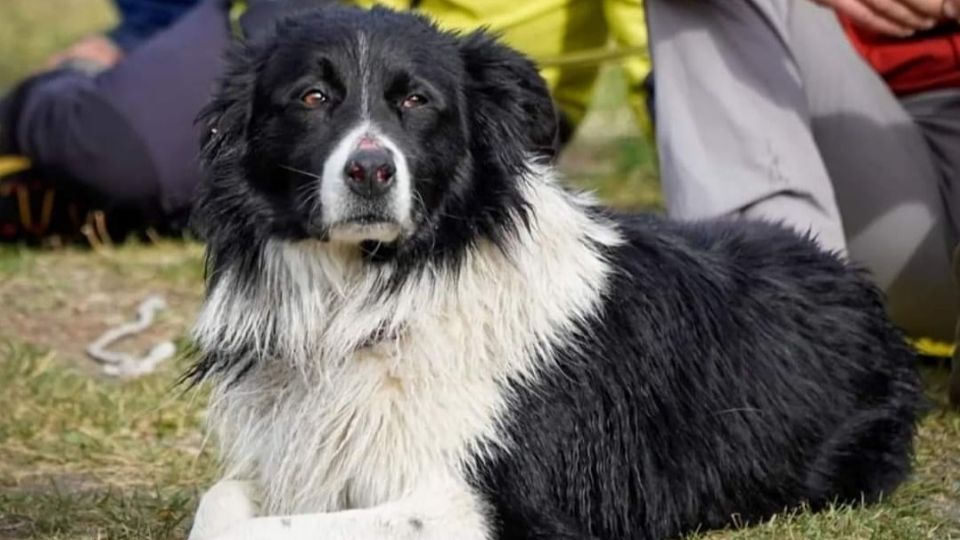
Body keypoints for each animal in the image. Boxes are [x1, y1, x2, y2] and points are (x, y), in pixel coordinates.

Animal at [186, 5, 924, 540]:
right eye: (312, 97)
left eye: (418, 102)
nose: (371, 170)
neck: (384, 288)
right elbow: (216, 506)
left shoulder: (491, 504)